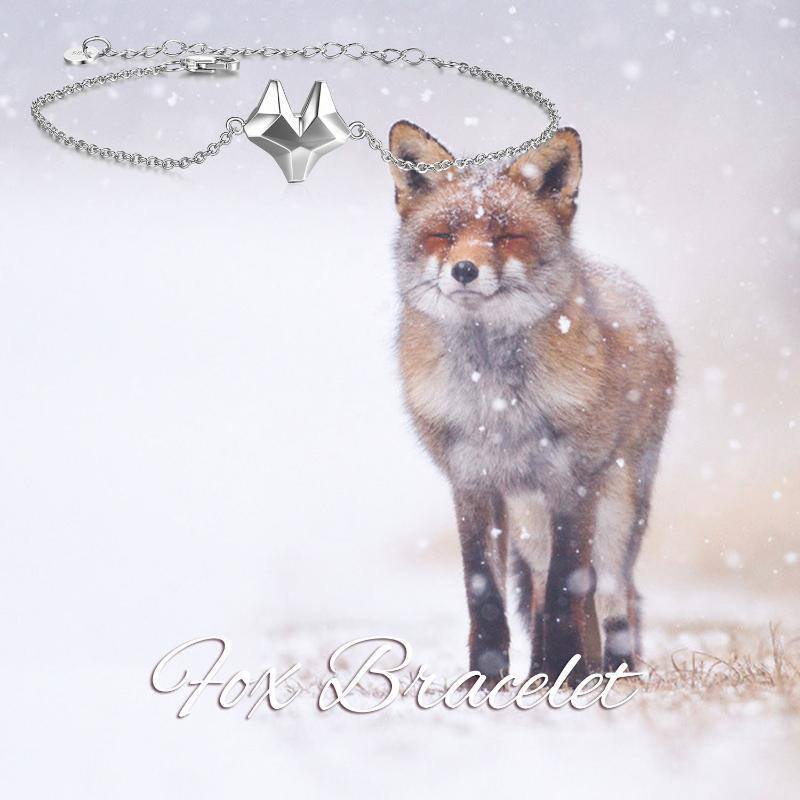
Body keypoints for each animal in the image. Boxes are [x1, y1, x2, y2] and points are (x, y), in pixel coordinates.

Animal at [388, 121, 676, 683]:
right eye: (445, 235)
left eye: (506, 238)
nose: (463, 269)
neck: (495, 402)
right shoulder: (472, 484)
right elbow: (486, 593)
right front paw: (487, 680)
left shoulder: (572, 482)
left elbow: (569, 589)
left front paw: (567, 674)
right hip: (528, 517)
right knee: (542, 585)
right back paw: (542, 671)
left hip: (617, 504)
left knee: (614, 592)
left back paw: (608, 671)